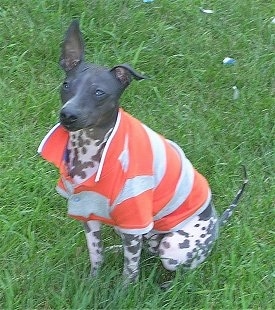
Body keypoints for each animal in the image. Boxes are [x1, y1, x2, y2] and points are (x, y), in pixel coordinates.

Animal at [38, 20, 248, 284]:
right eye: (66, 85)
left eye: (99, 92)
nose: (68, 114)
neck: (88, 149)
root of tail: (217, 224)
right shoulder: (87, 212)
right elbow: (96, 255)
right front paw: (93, 283)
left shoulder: (133, 219)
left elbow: (130, 271)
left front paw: (123, 291)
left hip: (173, 247)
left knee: (181, 271)